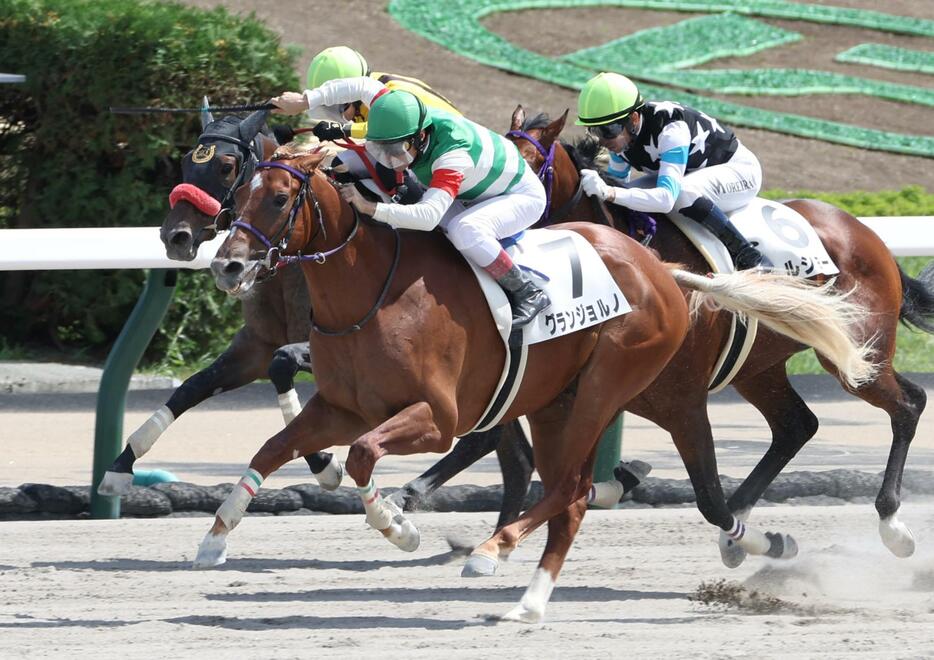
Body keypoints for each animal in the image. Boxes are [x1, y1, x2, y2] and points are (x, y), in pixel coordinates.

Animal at [194, 146, 872, 624]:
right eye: (239, 190)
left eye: (280, 197)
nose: (228, 265)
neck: (372, 292)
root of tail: (662, 268)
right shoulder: (343, 406)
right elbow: (271, 450)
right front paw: (213, 541)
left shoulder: (437, 417)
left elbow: (364, 456)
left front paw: (398, 525)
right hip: (556, 402)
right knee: (569, 498)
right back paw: (528, 599)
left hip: (607, 385)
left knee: (572, 488)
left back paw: (492, 552)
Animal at [508, 105, 934, 564]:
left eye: (529, 165)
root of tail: (868, 236)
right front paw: (623, 478)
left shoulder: (684, 399)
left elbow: (706, 497)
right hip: (760, 367)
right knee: (797, 425)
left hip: (855, 356)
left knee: (908, 404)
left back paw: (892, 524)